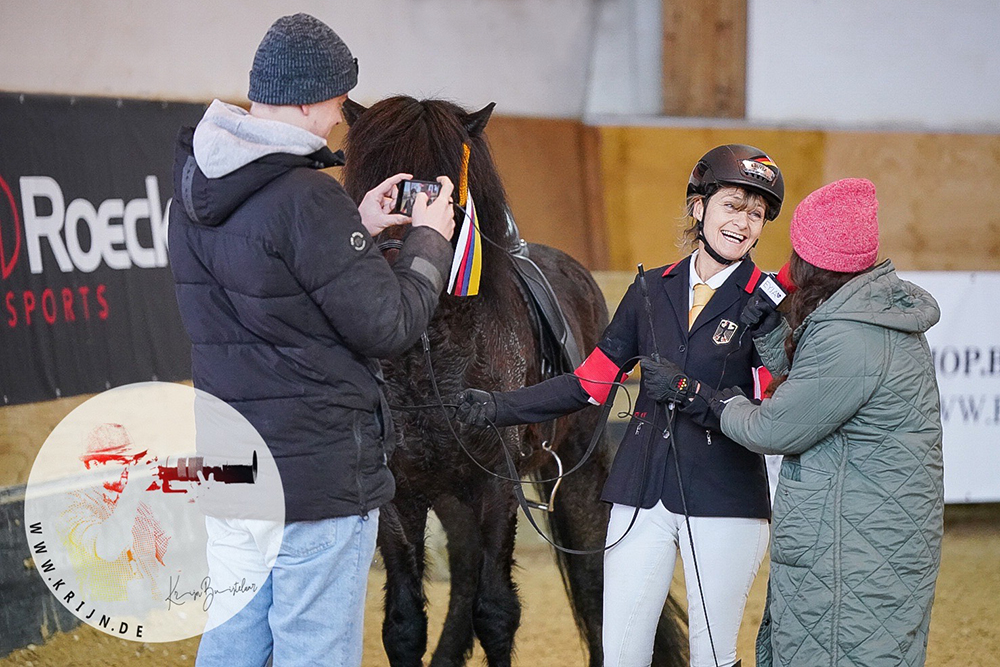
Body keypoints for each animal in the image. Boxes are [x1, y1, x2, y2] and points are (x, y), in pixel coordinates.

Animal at [344, 95, 688, 667]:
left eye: (442, 185)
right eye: (372, 178)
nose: (394, 262)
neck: (428, 357)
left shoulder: (495, 485)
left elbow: (497, 612)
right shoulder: (401, 494)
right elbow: (404, 623)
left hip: (576, 470)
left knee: (592, 577)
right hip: (451, 496)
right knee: (462, 577)